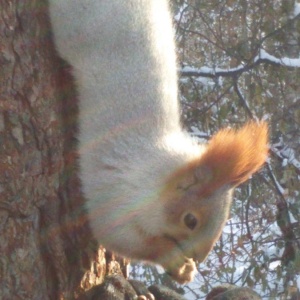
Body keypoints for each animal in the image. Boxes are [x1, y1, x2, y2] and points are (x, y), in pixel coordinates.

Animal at [48, 0, 268, 282]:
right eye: (191, 221)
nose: (198, 258)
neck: (157, 172)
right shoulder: (118, 194)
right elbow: (120, 237)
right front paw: (175, 260)